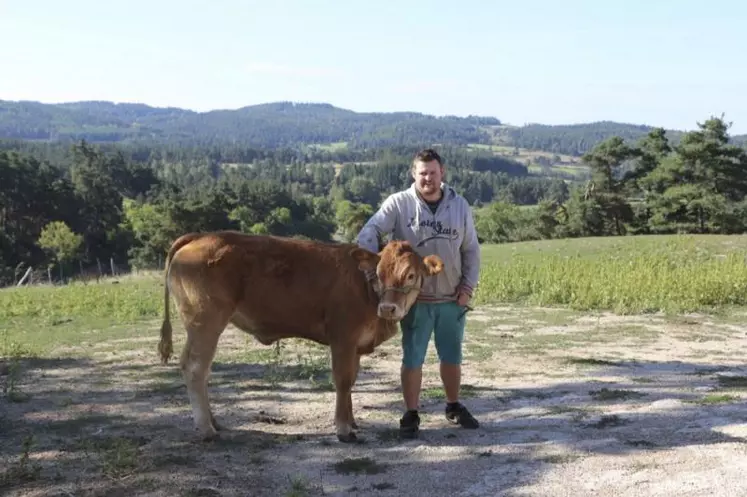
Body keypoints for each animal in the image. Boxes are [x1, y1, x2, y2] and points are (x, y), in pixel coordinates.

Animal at [155, 230, 442, 442]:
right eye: (379, 274)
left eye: (411, 275)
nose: (388, 308)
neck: (367, 290)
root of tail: (202, 235)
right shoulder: (343, 337)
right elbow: (342, 381)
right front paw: (343, 429)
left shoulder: (356, 345)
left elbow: (351, 381)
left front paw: (351, 422)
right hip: (205, 322)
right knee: (195, 367)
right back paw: (206, 428)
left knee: (202, 370)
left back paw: (214, 421)